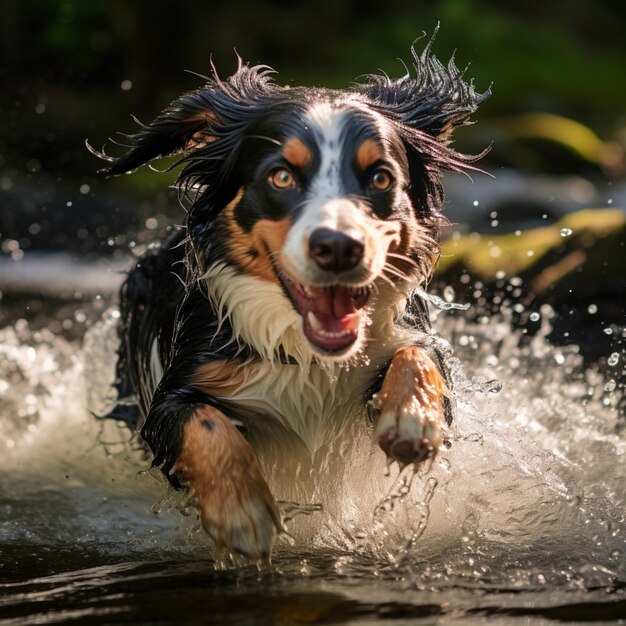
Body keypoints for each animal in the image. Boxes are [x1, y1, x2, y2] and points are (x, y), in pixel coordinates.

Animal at [91, 36, 488, 560]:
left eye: (380, 178)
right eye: (281, 177)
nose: (339, 247)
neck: (311, 355)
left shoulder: (410, 337)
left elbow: (419, 355)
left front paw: (413, 419)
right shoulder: (172, 393)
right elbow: (202, 421)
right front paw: (241, 512)